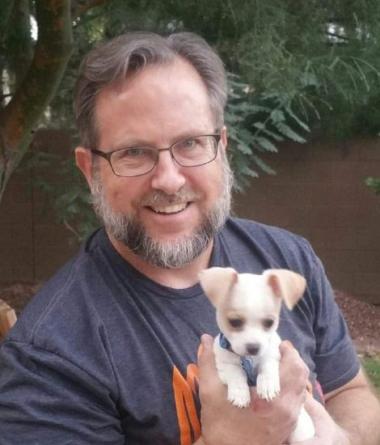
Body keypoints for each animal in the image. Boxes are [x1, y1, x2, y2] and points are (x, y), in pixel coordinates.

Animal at [199, 266, 314, 442]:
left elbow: (267, 367)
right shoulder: (224, 366)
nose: (253, 347)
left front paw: (267, 385)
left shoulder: (272, 355)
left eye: (269, 323)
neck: (249, 359)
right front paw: (240, 393)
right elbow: (235, 374)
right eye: (234, 322)